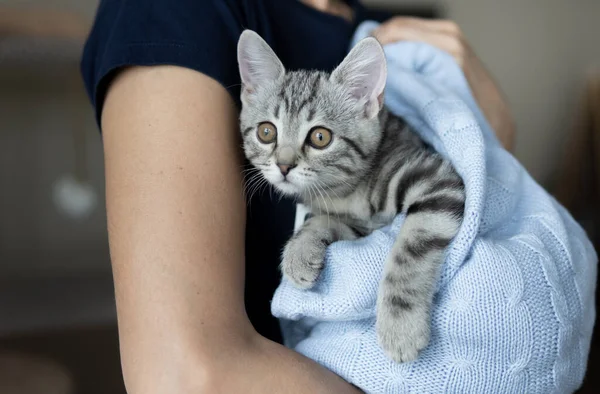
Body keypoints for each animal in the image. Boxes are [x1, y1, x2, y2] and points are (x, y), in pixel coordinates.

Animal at [237, 30, 466, 364]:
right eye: (266, 132)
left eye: (320, 137)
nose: (283, 165)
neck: (348, 190)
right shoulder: (359, 224)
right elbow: (322, 221)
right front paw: (300, 251)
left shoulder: (437, 179)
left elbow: (410, 249)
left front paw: (401, 326)